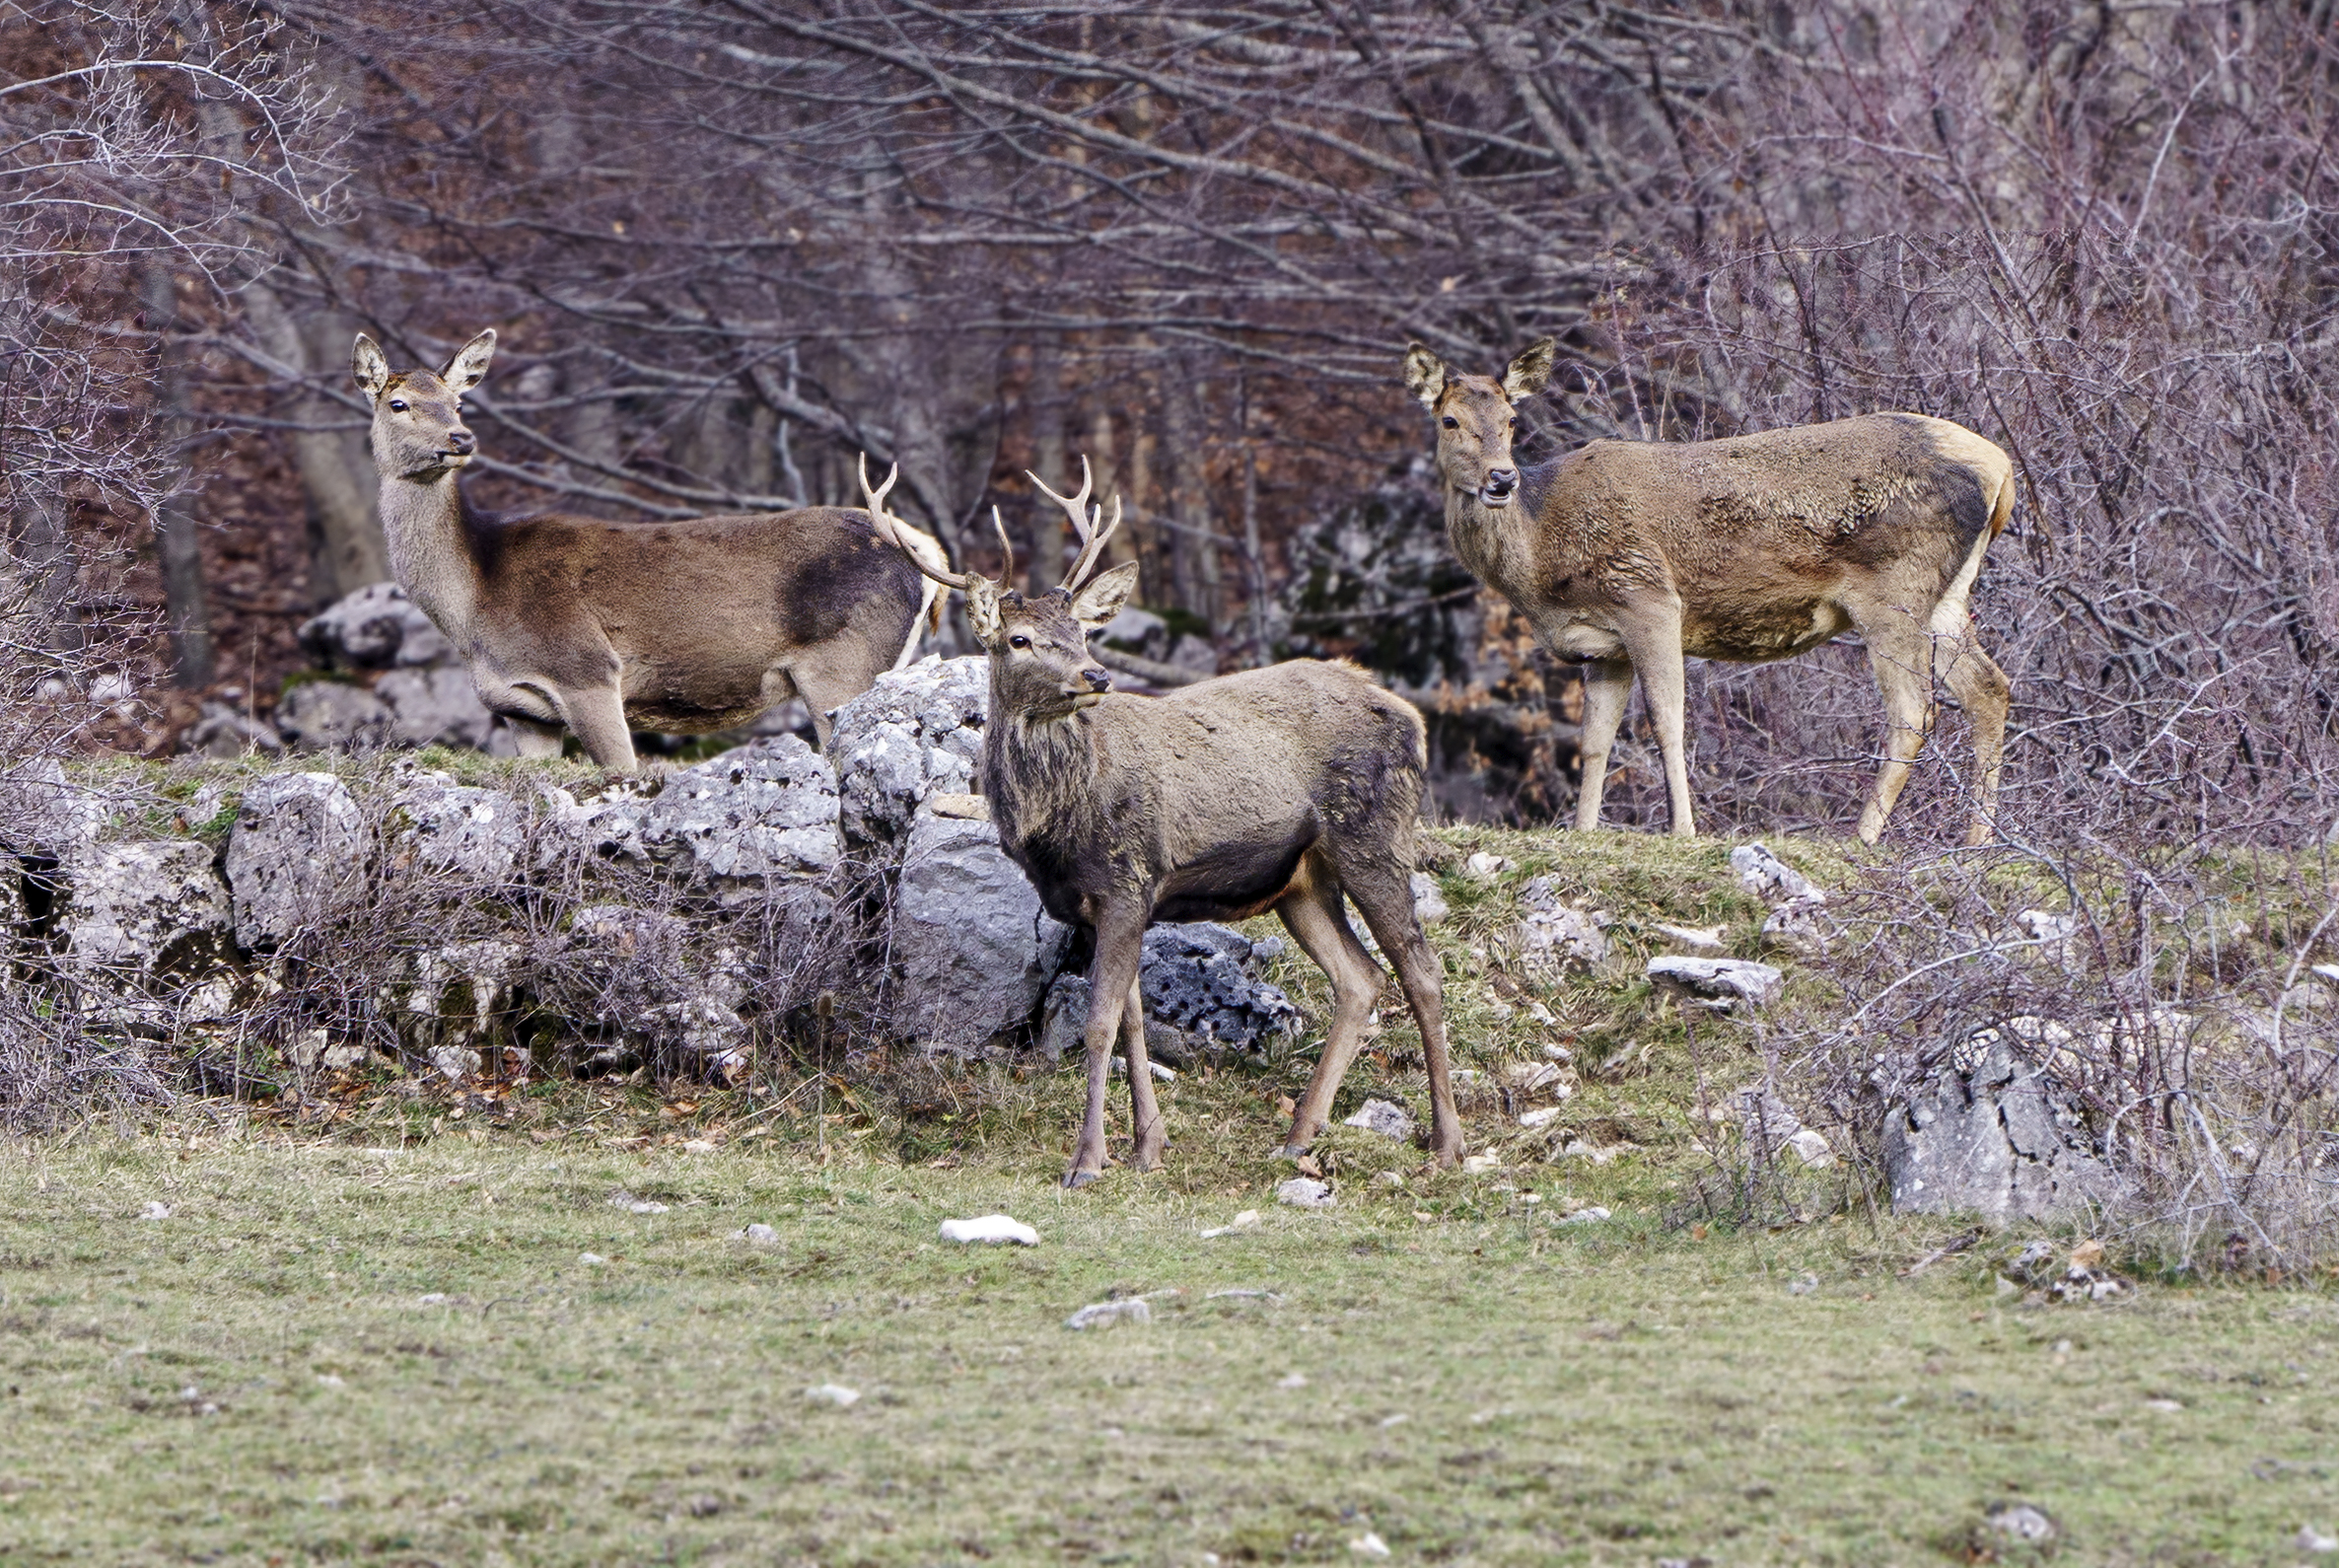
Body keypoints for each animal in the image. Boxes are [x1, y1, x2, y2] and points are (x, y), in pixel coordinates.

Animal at [351, 328, 948, 770]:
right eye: (398, 403)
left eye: (457, 401)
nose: (461, 438)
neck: (474, 597)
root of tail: (925, 554)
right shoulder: (524, 712)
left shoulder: (586, 669)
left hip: (845, 664)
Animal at [859, 455, 1463, 1187]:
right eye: (1019, 638)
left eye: (1082, 632)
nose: (1095, 674)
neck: (1056, 825)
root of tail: (1413, 719)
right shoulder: (1101, 904)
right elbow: (1131, 1024)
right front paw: (1148, 1146)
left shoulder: (1128, 878)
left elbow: (1098, 1025)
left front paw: (1088, 1161)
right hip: (1300, 881)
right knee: (1361, 979)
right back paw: (1298, 1134)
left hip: (1374, 836)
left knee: (1422, 971)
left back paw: (1445, 1143)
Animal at [1402, 338, 2014, 846]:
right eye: (1450, 419)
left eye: (1511, 420)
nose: (1501, 478)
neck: (1541, 565)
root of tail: (2001, 467)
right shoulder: (1604, 647)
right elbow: (1595, 740)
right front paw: (1583, 831)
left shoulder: (1647, 595)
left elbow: (1668, 719)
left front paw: (1684, 831)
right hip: (1947, 596)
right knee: (1988, 688)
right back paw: (1979, 842)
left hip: (1894, 588)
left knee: (1914, 710)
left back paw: (1862, 838)